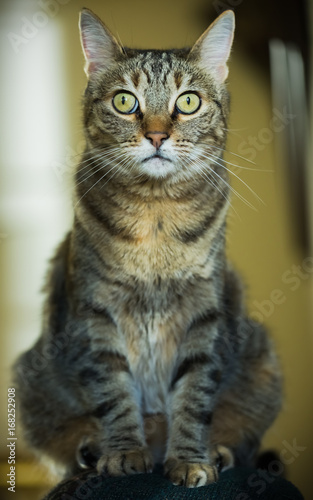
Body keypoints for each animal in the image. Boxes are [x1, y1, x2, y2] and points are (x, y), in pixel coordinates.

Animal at [13, 7, 280, 488]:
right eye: (125, 101)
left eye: (188, 102)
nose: (156, 136)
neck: (155, 217)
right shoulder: (94, 313)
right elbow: (114, 391)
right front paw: (123, 453)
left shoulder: (204, 313)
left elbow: (194, 394)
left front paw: (191, 459)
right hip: (31, 378)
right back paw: (89, 450)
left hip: (262, 363)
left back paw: (219, 450)